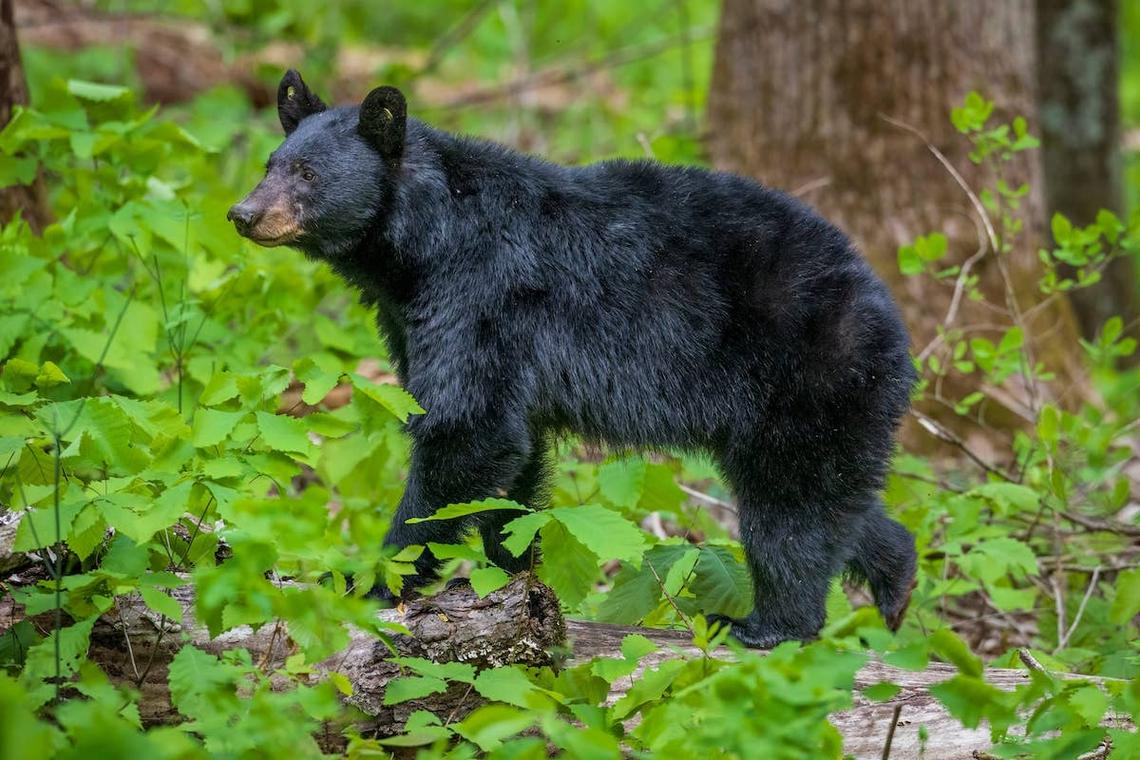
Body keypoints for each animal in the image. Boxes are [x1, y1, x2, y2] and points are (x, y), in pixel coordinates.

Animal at [227, 70, 918, 648]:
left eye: (308, 174)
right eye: (269, 164)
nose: (243, 213)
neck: (425, 242)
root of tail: (886, 309)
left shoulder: (479, 298)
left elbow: (465, 430)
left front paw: (368, 581)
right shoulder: (418, 321)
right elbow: (511, 458)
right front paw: (512, 575)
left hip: (807, 373)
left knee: (789, 513)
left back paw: (767, 625)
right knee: (839, 501)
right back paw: (898, 582)